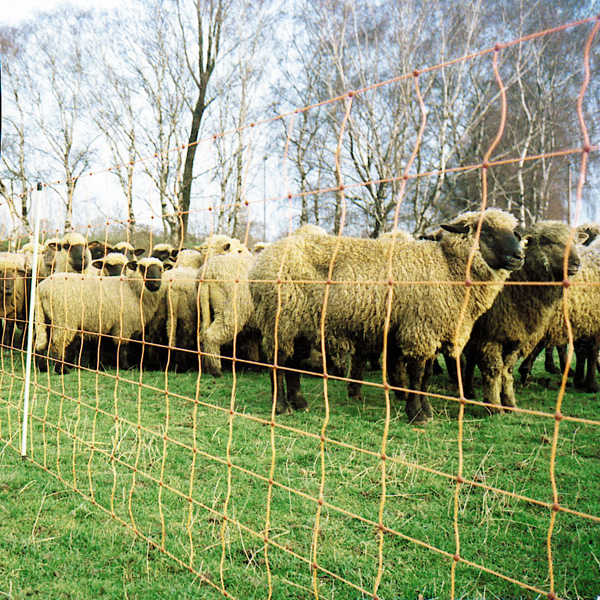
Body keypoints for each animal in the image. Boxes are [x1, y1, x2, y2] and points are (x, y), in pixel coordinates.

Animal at [33, 256, 169, 372]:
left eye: (161, 269)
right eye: (142, 268)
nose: (156, 284)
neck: (132, 289)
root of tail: (41, 288)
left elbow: (103, 347)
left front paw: (101, 366)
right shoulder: (124, 325)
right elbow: (122, 347)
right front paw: (125, 367)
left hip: (47, 317)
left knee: (41, 341)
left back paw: (42, 367)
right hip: (64, 318)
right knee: (58, 342)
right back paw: (60, 369)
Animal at [251, 211, 524, 422]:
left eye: (514, 231)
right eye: (485, 231)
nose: (519, 256)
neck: (447, 267)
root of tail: (262, 259)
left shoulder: (433, 330)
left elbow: (426, 376)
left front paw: (426, 410)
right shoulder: (420, 328)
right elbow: (416, 373)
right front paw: (416, 414)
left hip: (300, 323)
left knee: (291, 363)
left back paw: (299, 403)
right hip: (280, 318)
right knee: (277, 362)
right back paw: (281, 407)